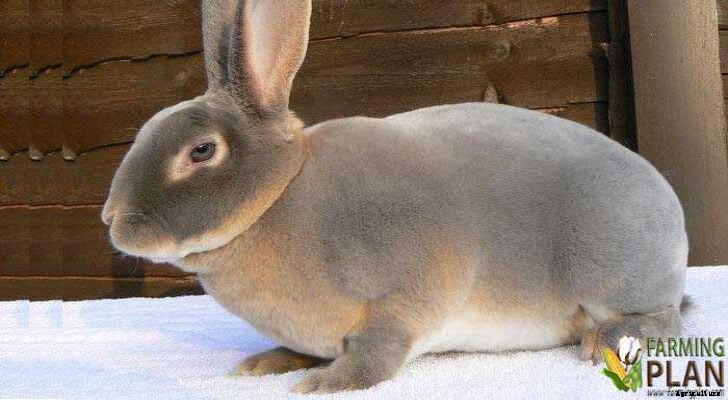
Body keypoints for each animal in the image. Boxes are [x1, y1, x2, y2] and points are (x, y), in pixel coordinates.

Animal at [102, 0, 688, 394]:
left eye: (201, 151)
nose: (112, 219)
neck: (282, 196)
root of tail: (673, 215)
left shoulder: (403, 297)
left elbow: (377, 351)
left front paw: (325, 383)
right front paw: (267, 362)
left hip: (613, 276)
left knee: (662, 318)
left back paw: (607, 343)